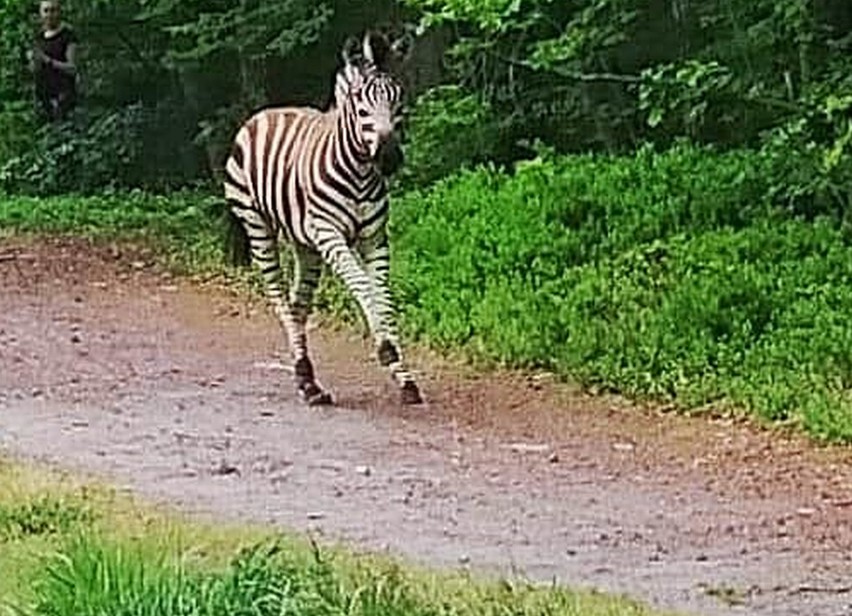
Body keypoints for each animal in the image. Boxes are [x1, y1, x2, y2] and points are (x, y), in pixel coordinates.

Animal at [220, 28, 420, 406]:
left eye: (398, 101)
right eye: (361, 106)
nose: (389, 158)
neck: (359, 173)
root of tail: (266, 112)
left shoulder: (375, 239)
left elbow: (384, 296)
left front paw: (404, 378)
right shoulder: (330, 234)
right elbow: (363, 285)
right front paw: (386, 349)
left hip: (305, 244)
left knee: (298, 306)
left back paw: (307, 380)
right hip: (258, 227)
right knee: (281, 301)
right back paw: (306, 379)